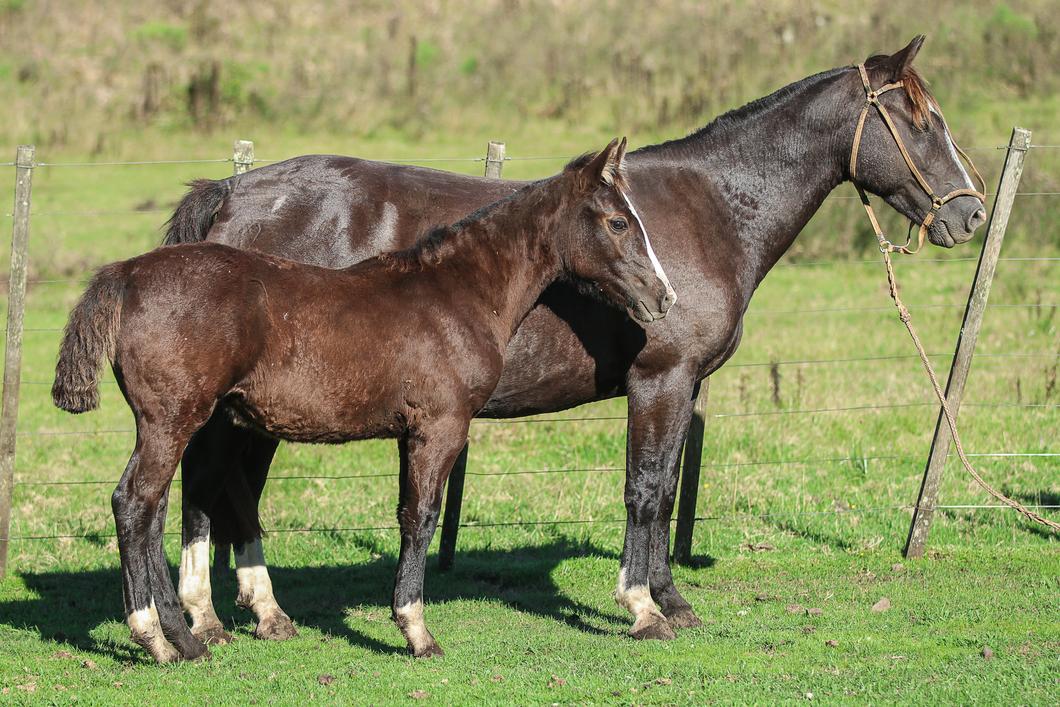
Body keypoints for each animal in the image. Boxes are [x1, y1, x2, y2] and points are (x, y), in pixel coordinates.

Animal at [53, 139, 674, 665]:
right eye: (619, 222)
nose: (663, 297)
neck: (456, 292)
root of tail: (125, 273)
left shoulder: (410, 432)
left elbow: (406, 514)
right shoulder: (440, 427)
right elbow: (421, 518)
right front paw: (417, 631)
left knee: (162, 505)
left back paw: (189, 636)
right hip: (173, 419)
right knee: (136, 503)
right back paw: (157, 639)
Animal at [163, 37, 983, 648]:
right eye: (921, 120)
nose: (970, 213)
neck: (707, 211)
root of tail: (232, 193)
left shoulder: (682, 386)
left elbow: (665, 489)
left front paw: (672, 599)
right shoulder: (660, 379)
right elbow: (644, 488)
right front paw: (642, 606)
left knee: (228, 491)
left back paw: (257, 614)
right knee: (209, 484)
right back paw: (208, 615)